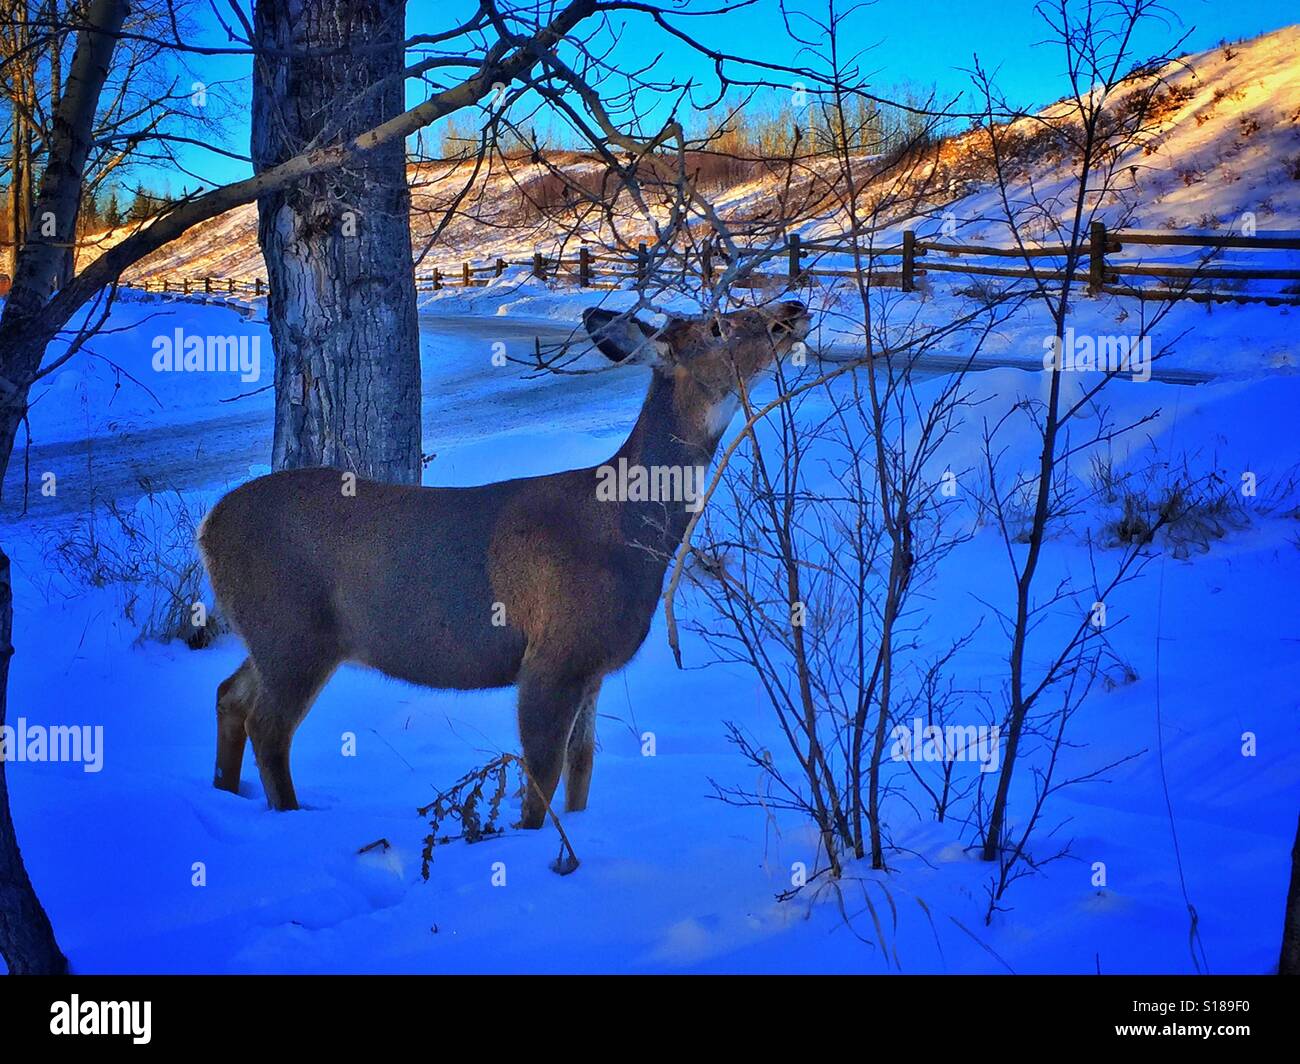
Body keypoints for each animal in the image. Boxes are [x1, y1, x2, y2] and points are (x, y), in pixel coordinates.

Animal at [200, 293, 811, 827]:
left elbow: (582, 769)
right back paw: (287, 815)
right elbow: (542, 776)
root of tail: (208, 528)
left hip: (274, 634)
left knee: (230, 695)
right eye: (718, 326)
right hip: (293, 629)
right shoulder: (552, 655)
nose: (794, 307)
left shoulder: (593, 666)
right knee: (269, 726)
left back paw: (224, 793)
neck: (624, 528)